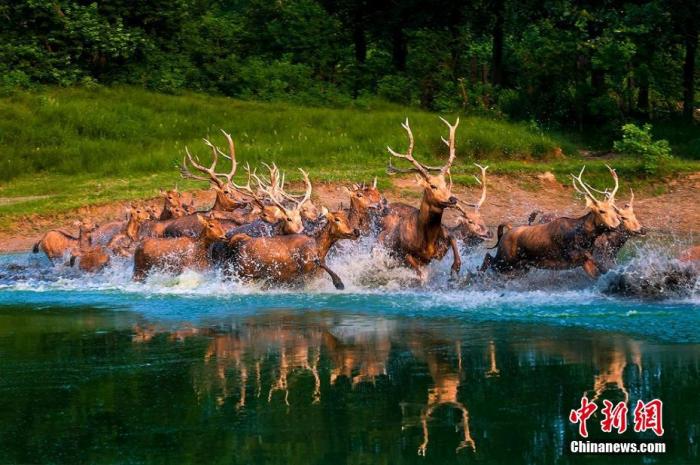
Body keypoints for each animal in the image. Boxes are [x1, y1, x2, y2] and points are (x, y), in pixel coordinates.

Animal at [224, 209, 360, 289]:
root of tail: (240, 241)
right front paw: (339, 283)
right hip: (244, 275)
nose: (356, 231)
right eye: (337, 219)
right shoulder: (303, 274)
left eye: (347, 219)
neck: (319, 248)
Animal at [378, 117, 462, 281]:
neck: (427, 242)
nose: (453, 199)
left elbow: (453, 237)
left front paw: (456, 267)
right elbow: (419, 273)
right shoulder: (405, 253)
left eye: (446, 184)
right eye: (432, 186)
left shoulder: (440, 248)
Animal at [481, 166, 621, 278]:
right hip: (505, 259)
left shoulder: (582, 261)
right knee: (488, 257)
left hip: (520, 266)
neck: (585, 237)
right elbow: (600, 264)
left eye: (614, 209)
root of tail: (507, 230)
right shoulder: (571, 254)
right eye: (601, 211)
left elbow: (597, 272)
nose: (616, 225)